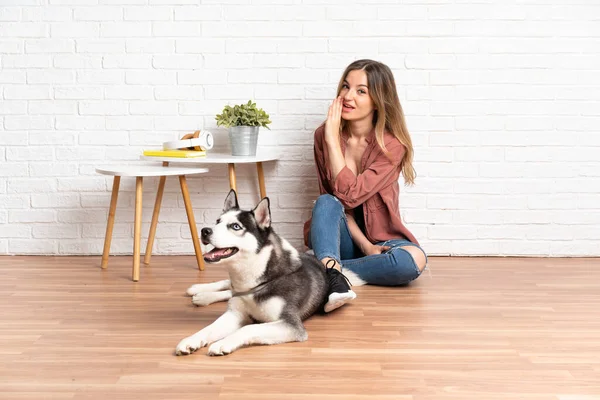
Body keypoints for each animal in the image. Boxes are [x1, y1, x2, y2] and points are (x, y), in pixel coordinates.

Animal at [176, 190, 328, 356]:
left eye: (235, 226)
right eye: (217, 221)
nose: (204, 231)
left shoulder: (291, 324)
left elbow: (248, 327)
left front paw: (223, 343)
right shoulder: (235, 313)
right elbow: (209, 328)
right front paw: (191, 340)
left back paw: (202, 296)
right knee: (227, 286)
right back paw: (199, 291)